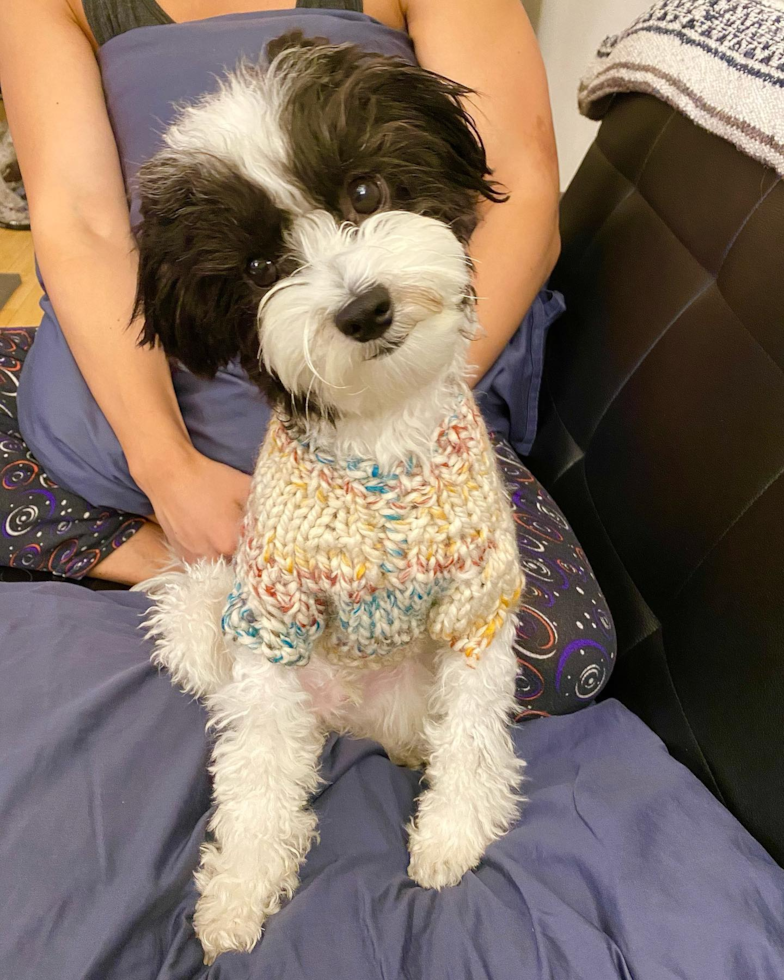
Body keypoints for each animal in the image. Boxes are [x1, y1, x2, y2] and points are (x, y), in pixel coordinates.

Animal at [136, 32, 528, 964]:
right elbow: (251, 786)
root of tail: (357, 719)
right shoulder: (271, 617)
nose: (364, 309)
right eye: (258, 267)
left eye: (363, 192)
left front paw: (452, 833)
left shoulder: (478, 602)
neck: (379, 438)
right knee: (259, 745)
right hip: (230, 638)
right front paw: (240, 889)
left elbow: (474, 730)